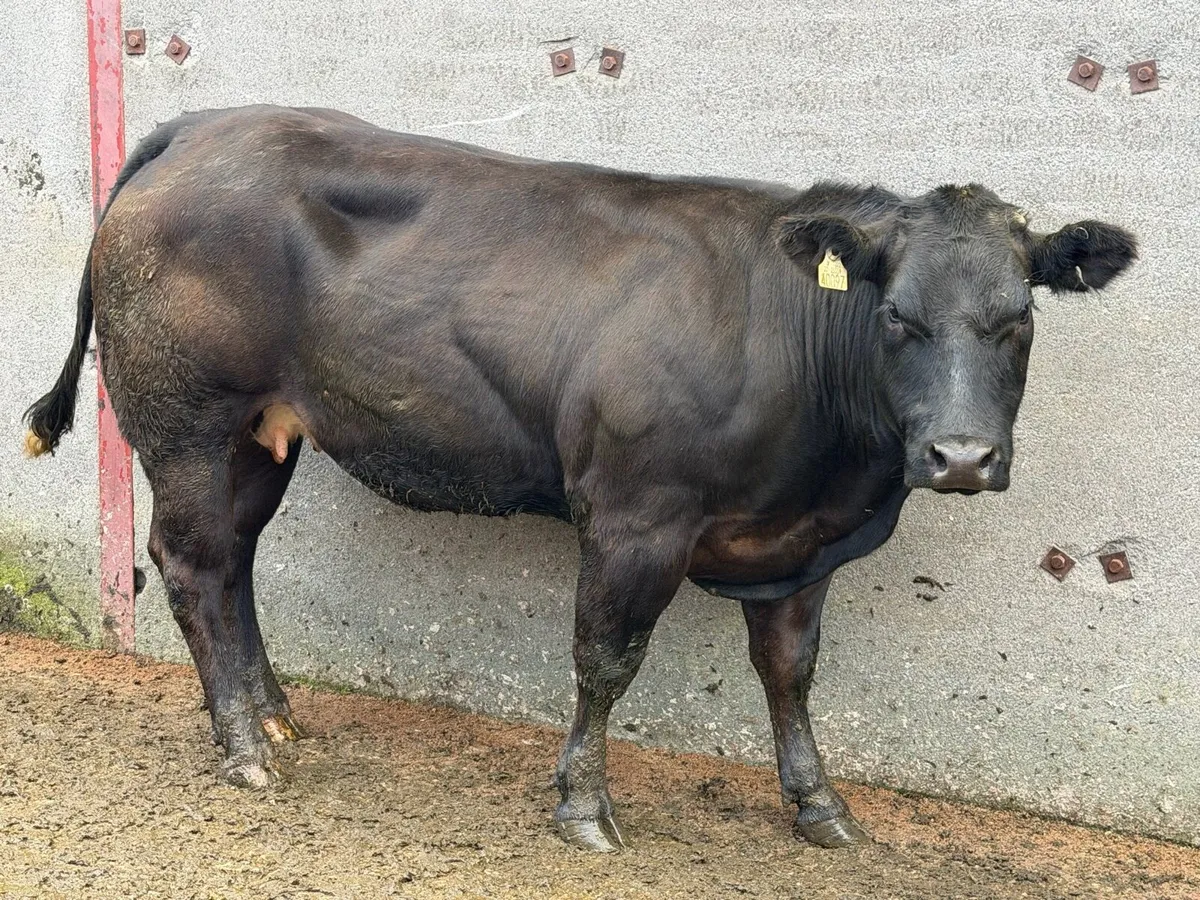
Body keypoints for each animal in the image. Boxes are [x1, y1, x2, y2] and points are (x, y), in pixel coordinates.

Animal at [24, 105, 1137, 853]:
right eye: (896, 316)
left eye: (1019, 320)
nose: (961, 457)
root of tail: (205, 124)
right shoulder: (635, 515)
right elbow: (606, 660)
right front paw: (584, 807)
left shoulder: (799, 544)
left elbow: (790, 670)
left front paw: (820, 806)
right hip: (188, 422)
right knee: (191, 565)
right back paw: (242, 746)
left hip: (265, 434)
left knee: (235, 564)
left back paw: (274, 714)